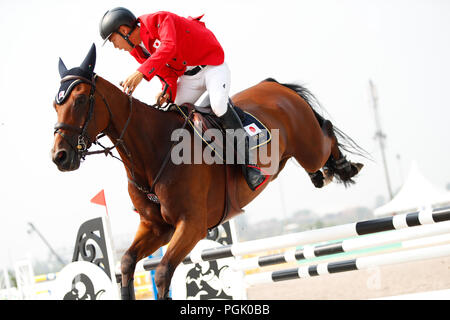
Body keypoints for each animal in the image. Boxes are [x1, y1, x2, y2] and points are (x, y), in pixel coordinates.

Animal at [50, 44, 366, 300]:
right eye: (56, 104)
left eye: (80, 100)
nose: (59, 157)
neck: (154, 149)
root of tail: (275, 87)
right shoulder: (156, 228)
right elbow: (127, 263)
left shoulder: (191, 225)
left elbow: (163, 272)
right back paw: (321, 175)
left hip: (310, 148)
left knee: (326, 132)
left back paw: (344, 166)